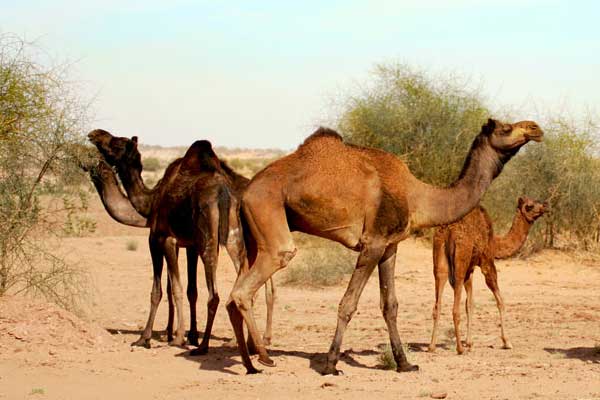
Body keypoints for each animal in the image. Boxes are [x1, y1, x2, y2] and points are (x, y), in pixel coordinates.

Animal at [87, 129, 276, 354]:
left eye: (117, 143)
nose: (94, 134)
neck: (150, 202)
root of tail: (226, 193)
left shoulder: (160, 238)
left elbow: (164, 290)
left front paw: (154, 338)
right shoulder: (189, 245)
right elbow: (189, 290)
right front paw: (187, 334)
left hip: (209, 239)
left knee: (216, 295)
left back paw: (207, 346)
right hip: (234, 239)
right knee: (252, 285)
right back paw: (252, 343)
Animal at [426, 195, 548, 354]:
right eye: (529, 206)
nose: (545, 205)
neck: (496, 242)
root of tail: (448, 231)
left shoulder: (470, 268)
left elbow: (470, 304)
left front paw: (470, 343)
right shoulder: (487, 261)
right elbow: (500, 301)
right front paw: (506, 342)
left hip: (439, 256)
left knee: (438, 299)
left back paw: (432, 346)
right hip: (461, 258)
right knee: (455, 306)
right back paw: (459, 348)